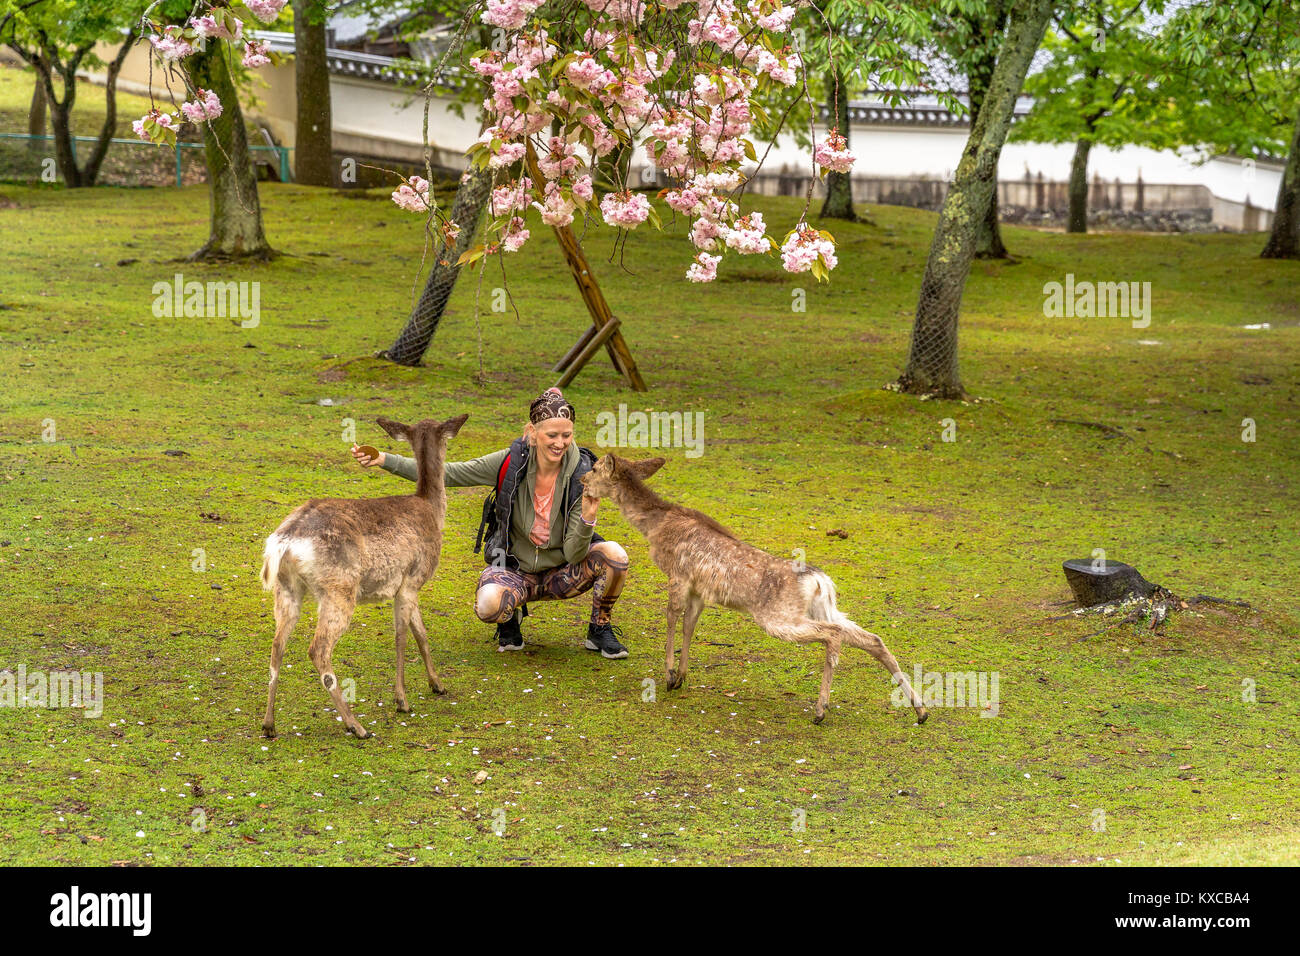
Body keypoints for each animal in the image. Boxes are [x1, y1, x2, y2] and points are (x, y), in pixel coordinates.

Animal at [256, 413, 465, 738]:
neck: (432, 510)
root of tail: (284, 542)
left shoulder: (408, 584)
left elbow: (421, 632)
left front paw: (437, 684)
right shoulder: (413, 577)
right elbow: (402, 636)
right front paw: (402, 700)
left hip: (287, 589)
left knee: (277, 646)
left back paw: (269, 724)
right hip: (339, 588)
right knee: (318, 648)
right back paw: (356, 725)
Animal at [585, 455, 930, 723]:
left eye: (595, 468)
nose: (584, 482)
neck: (655, 527)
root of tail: (820, 581)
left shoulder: (678, 576)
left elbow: (672, 620)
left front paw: (669, 675)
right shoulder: (699, 589)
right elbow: (688, 626)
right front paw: (681, 677)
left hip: (778, 617)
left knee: (833, 635)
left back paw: (821, 710)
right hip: (825, 609)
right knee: (871, 638)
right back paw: (920, 710)